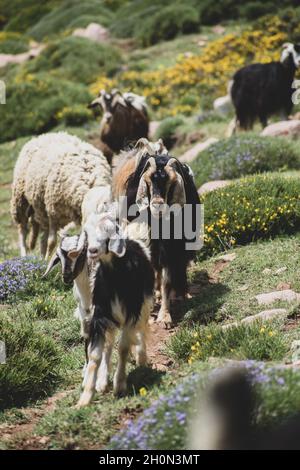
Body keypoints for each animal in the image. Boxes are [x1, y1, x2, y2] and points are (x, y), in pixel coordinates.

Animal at [46, 207, 157, 406]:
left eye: (108, 232)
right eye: (87, 235)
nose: (93, 250)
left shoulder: (131, 313)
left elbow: (123, 348)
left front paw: (119, 385)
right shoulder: (98, 317)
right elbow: (95, 353)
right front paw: (86, 396)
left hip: (144, 305)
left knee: (142, 329)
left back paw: (141, 357)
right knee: (110, 343)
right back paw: (103, 380)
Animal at [112, 140, 202, 328]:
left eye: (171, 182)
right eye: (148, 181)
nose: (157, 205)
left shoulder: (173, 248)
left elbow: (167, 280)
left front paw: (165, 317)